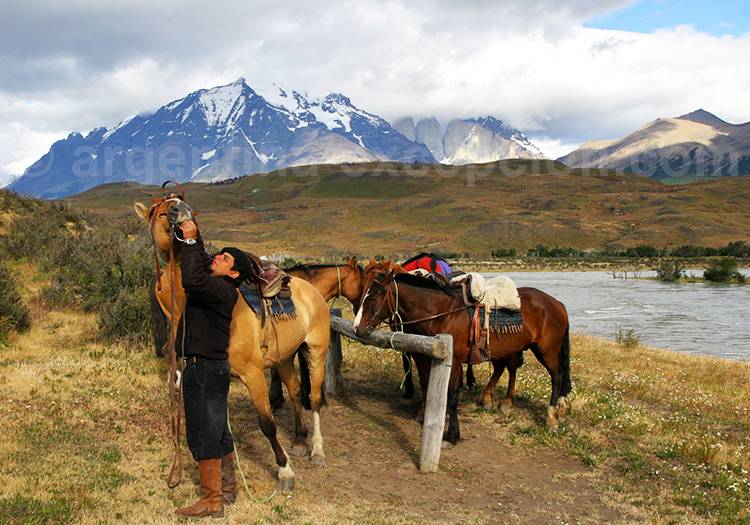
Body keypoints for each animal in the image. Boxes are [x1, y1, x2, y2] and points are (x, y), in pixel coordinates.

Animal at [134, 192, 330, 491]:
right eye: (159, 212)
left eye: (179, 202)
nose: (181, 209)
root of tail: (312, 291)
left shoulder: (253, 374)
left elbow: (267, 424)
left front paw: (285, 471)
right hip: (283, 358)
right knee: (296, 392)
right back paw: (298, 440)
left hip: (316, 352)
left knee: (315, 399)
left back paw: (317, 450)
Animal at [353, 263, 571, 444]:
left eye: (373, 296)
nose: (357, 328)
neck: (442, 313)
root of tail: (558, 304)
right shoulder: (426, 355)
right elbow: (428, 385)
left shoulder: (455, 361)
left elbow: (452, 395)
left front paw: (452, 433)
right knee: (506, 367)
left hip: (547, 350)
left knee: (556, 377)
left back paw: (551, 418)